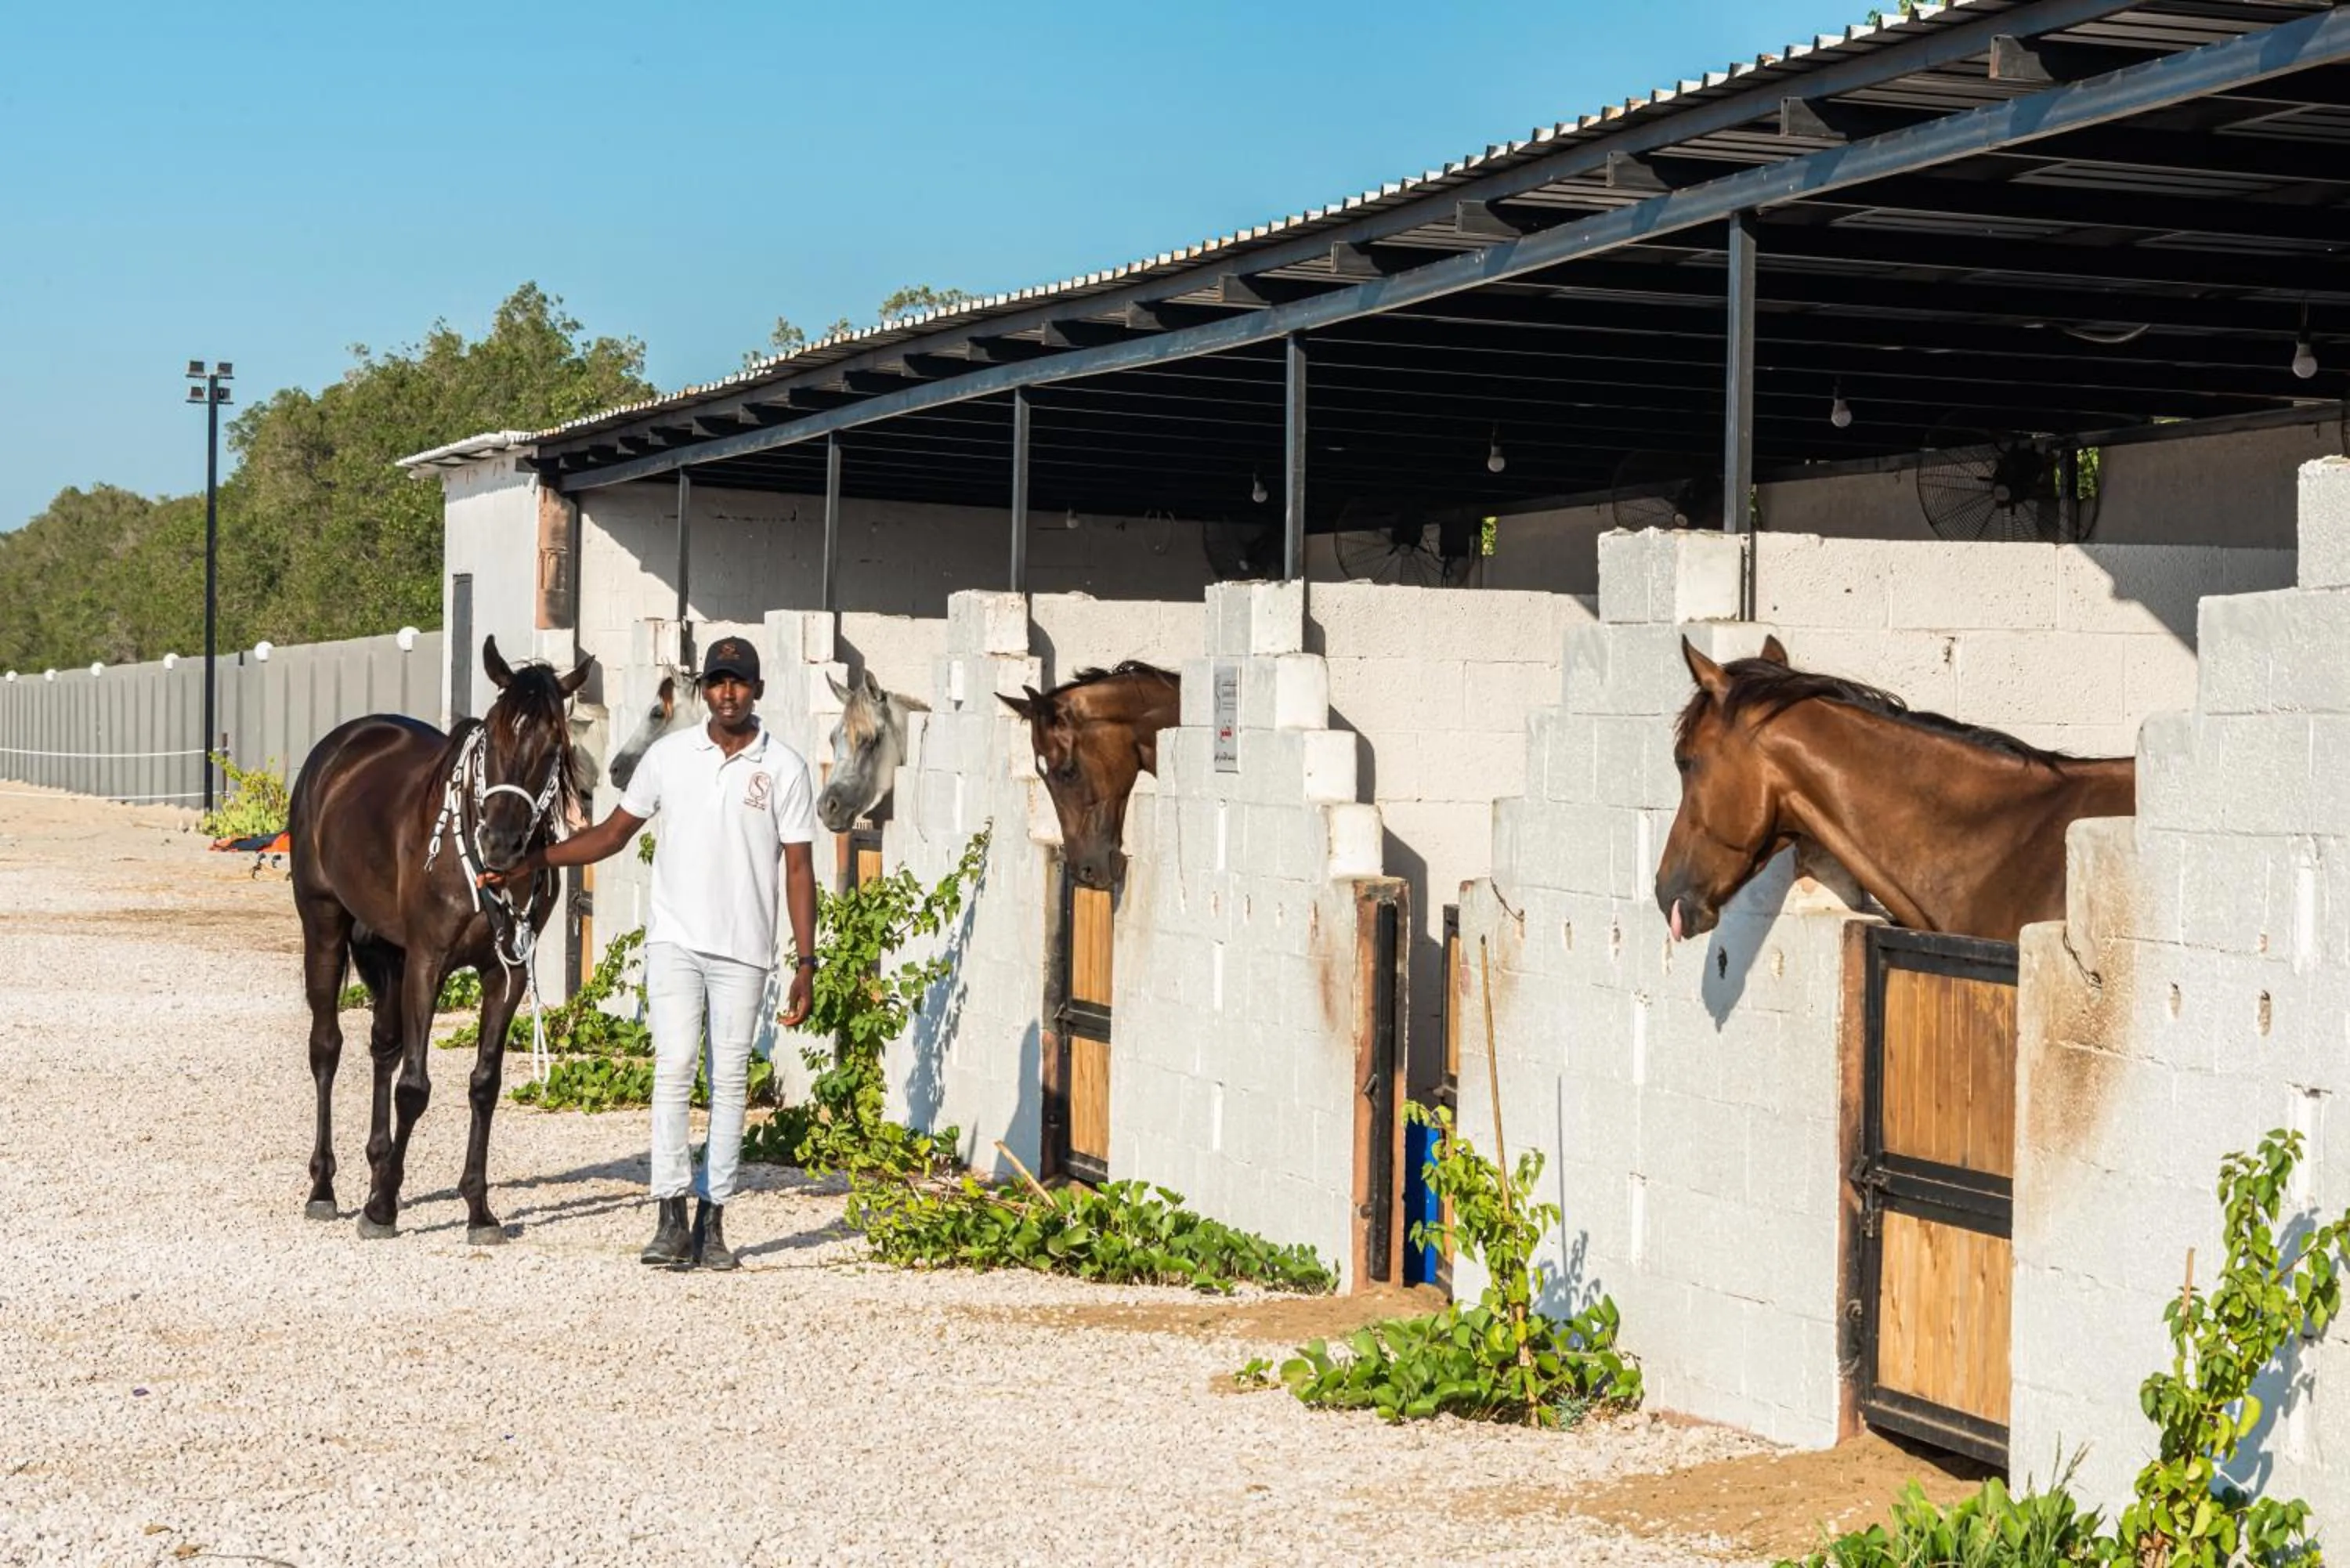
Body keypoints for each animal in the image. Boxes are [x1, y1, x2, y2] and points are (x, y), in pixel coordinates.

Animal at [288, 636, 593, 1243]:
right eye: (492, 737)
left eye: (554, 746)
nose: (500, 843)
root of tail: (341, 746)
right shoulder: (428, 962)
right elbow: (414, 1087)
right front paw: (381, 1209)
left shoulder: (506, 972)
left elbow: (484, 1083)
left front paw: (477, 1208)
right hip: (324, 924)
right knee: (327, 1047)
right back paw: (325, 1187)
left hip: (389, 950)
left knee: (383, 1047)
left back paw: (379, 1164)